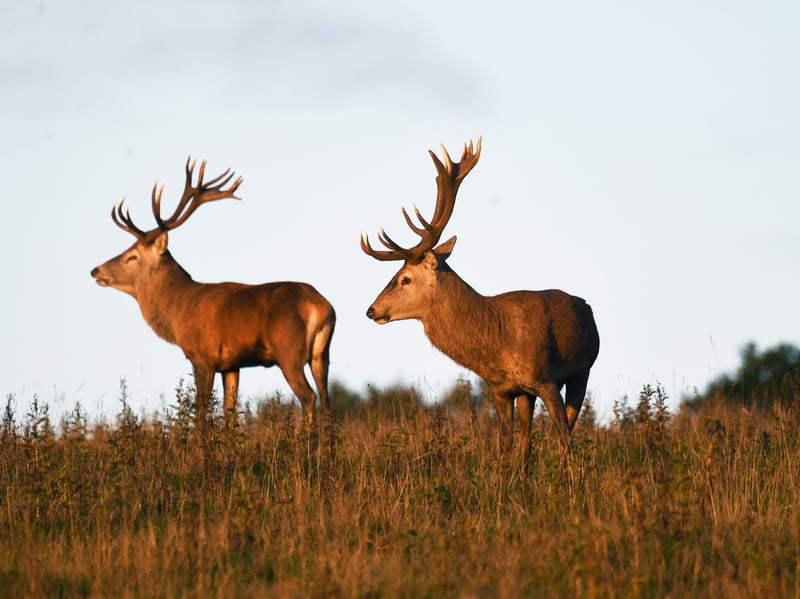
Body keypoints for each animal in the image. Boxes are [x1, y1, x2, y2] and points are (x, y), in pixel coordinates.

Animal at [91, 158, 336, 427]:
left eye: (132, 256)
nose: (95, 270)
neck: (179, 311)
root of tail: (321, 307)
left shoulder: (203, 357)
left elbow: (201, 412)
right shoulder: (231, 364)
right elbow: (230, 412)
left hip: (288, 351)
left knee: (309, 396)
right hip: (322, 354)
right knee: (327, 399)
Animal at [361, 138, 599, 473]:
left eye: (405, 279)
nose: (371, 309)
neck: (496, 344)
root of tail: (586, 308)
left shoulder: (546, 379)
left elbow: (563, 437)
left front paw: (571, 480)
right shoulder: (501, 389)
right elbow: (505, 445)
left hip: (583, 370)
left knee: (567, 427)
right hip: (529, 393)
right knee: (527, 441)